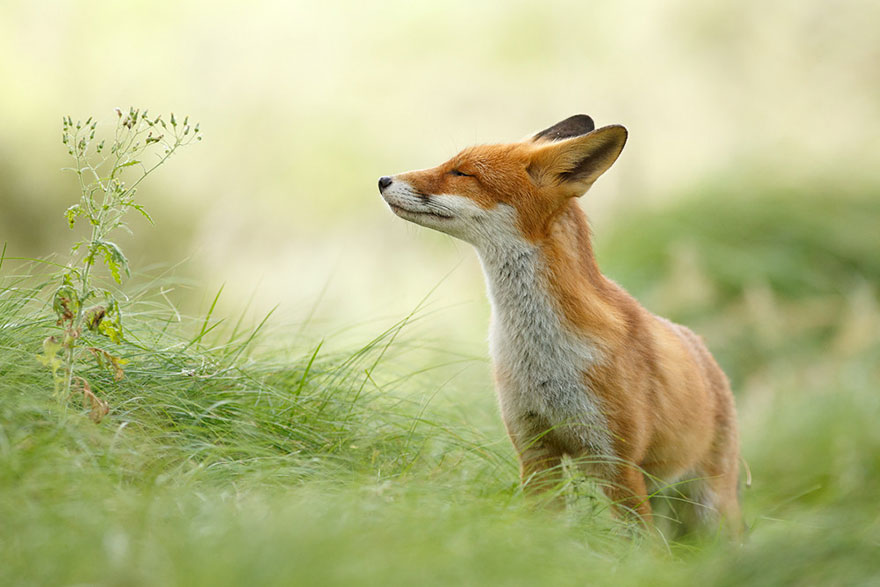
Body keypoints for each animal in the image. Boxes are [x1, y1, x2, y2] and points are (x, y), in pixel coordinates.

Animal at [378, 115, 741, 536]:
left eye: (462, 172)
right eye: (451, 164)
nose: (383, 180)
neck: (542, 355)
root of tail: (706, 353)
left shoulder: (617, 463)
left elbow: (639, 544)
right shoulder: (534, 449)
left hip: (711, 506)